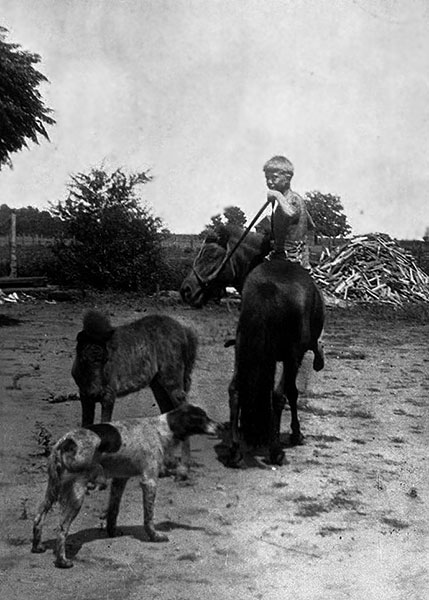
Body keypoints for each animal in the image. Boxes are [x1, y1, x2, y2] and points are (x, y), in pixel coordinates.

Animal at [31, 404, 217, 568]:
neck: (160, 430)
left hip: (53, 489)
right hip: (77, 493)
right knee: (62, 528)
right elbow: (148, 517)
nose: (221, 426)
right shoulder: (149, 480)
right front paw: (154, 536)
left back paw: (37, 546)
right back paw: (62, 561)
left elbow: (113, 511)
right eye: (202, 418)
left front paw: (112, 533)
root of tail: (66, 441)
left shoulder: (120, 480)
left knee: (38, 517)